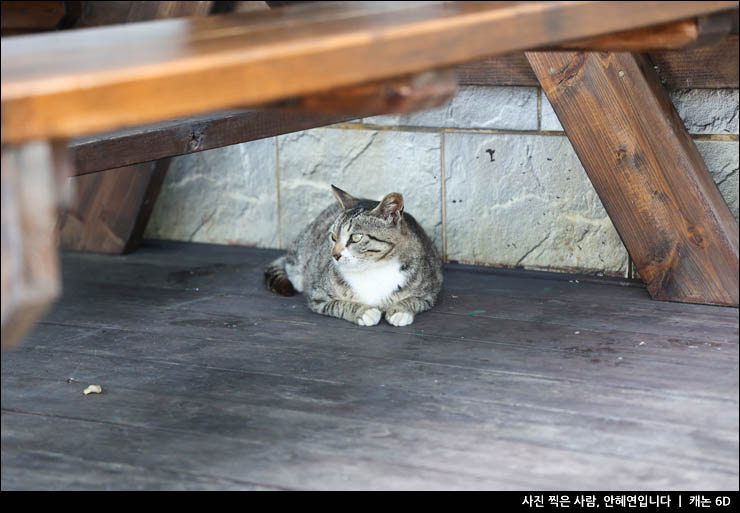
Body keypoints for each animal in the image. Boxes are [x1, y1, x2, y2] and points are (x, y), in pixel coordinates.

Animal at [264, 186, 442, 326]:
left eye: (356, 237)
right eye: (333, 236)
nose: (334, 254)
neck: (374, 269)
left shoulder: (430, 291)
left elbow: (414, 300)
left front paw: (400, 310)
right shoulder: (317, 295)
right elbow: (338, 304)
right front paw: (363, 311)